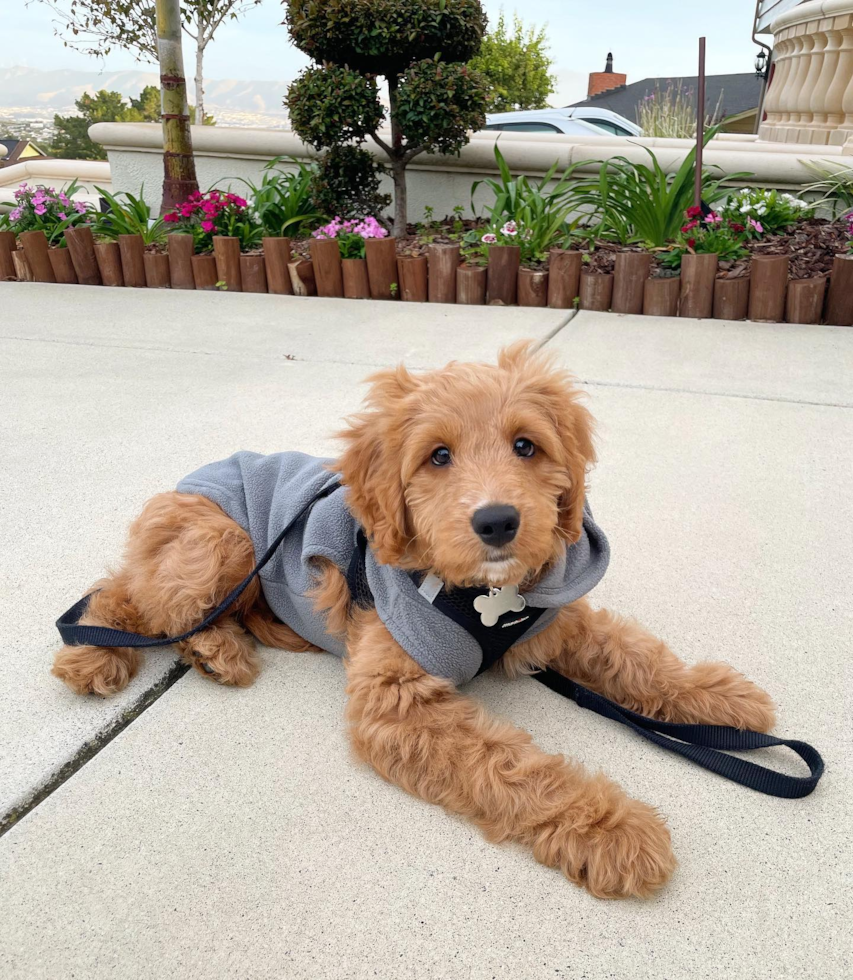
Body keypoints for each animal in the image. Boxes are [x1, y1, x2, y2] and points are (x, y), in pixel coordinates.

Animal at [50, 342, 776, 896]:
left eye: (525, 446)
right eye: (438, 456)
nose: (497, 521)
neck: (485, 597)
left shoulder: (553, 622)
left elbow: (630, 652)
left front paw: (716, 697)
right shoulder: (397, 701)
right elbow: (513, 767)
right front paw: (614, 830)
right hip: (222, 539)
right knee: (133, 595)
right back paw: (119, 653)